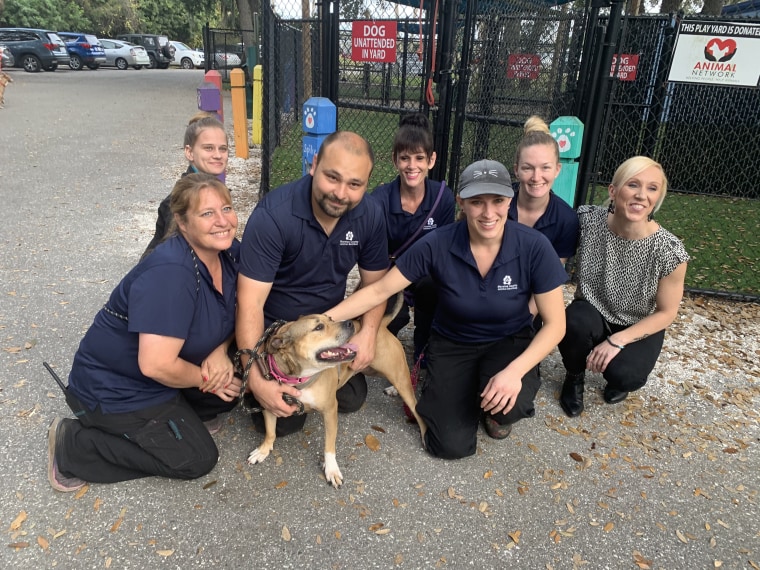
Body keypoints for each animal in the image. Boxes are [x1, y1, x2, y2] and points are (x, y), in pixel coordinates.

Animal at [248, 300, 428, 486]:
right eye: (319, 327)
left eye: (330, 318)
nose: (349, 323)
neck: (299, 379)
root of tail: (382, 325)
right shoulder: (268, 403)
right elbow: (270, 431)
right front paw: (263, 450)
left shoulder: (330, 411)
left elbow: (329, 445)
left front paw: (331, 469)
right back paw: (392, 389)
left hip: (398, 377)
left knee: (416, 408)